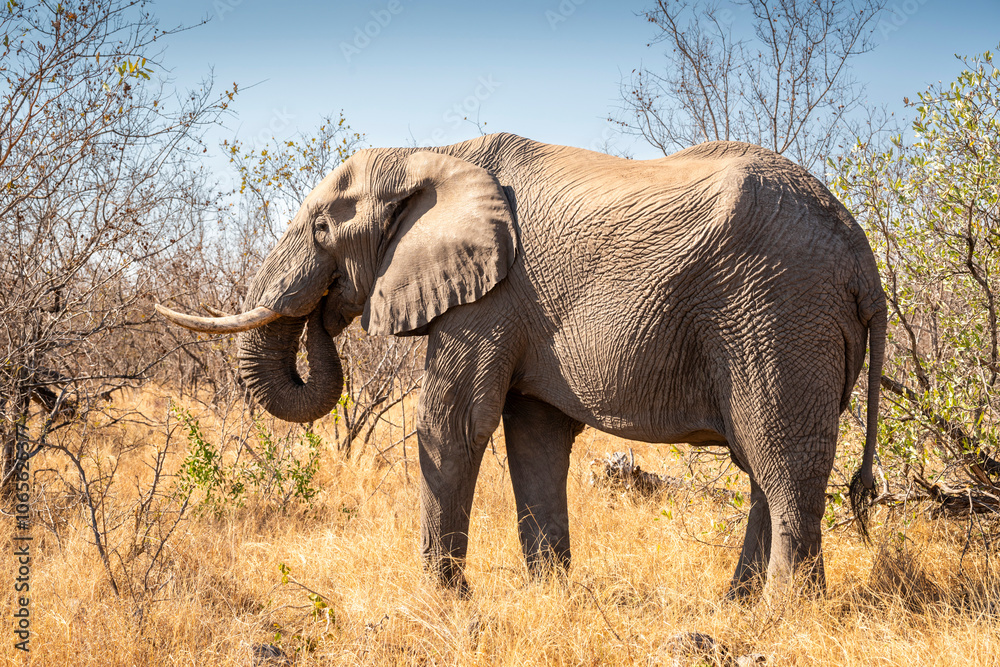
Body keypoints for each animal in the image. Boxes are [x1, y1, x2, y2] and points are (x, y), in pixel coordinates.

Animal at [157, 133, 886, 599]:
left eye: (321, 230)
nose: (326, 309)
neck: (430, 152)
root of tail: (865, 261)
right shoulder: (517, 307)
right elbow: (535, 437)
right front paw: (550, 595)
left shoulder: (492, 296)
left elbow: (453, 425)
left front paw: (445, 598)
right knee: (763, 464)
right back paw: (737, 604)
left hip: (780, 311)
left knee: (782, 461)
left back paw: (786, 613)